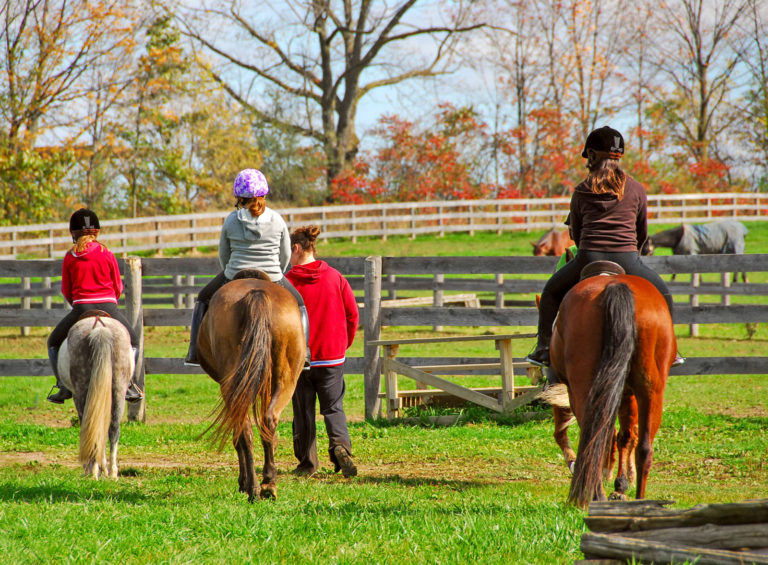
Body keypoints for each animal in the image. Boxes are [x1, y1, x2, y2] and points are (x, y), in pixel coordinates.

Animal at [58, 310, 134, 478]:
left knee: (88, 425)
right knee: (113, 428)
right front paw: (103, 468)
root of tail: (100, 328)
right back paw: (112, 472)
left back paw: (91, 471)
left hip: (81, 392)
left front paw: (98, 467)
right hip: (118, 390)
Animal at [198, 270, 306, 500]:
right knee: (268, 420)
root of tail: (257, 293)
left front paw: (242, 482)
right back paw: (268, 484)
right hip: (286, 381)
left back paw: (253, 488)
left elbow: (237, 438)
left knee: (244, 428)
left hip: (232, 387)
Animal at [544, 264, 676, 506]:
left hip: (585, 389)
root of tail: (614, 286)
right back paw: (638, 500)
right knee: (643, 447)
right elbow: (625, 435)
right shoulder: (626, 393)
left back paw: (595, 493)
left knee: (596, 438)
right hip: (650, 390)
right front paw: (620, 485)